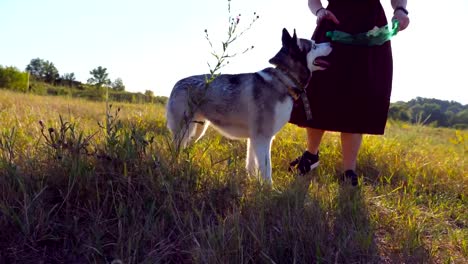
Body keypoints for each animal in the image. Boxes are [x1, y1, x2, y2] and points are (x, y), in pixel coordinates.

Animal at [166, 28, 330, 184]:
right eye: (314, 45)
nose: (331, 43)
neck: (284, 79)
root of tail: (177, 83)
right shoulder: (263, 138)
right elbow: (266, 170)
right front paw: (269, 190)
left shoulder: (255, 138)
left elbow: (251, 167)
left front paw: (252, 185)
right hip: (184, 130)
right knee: (176, 149)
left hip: (198, 130)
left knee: (185, 147)